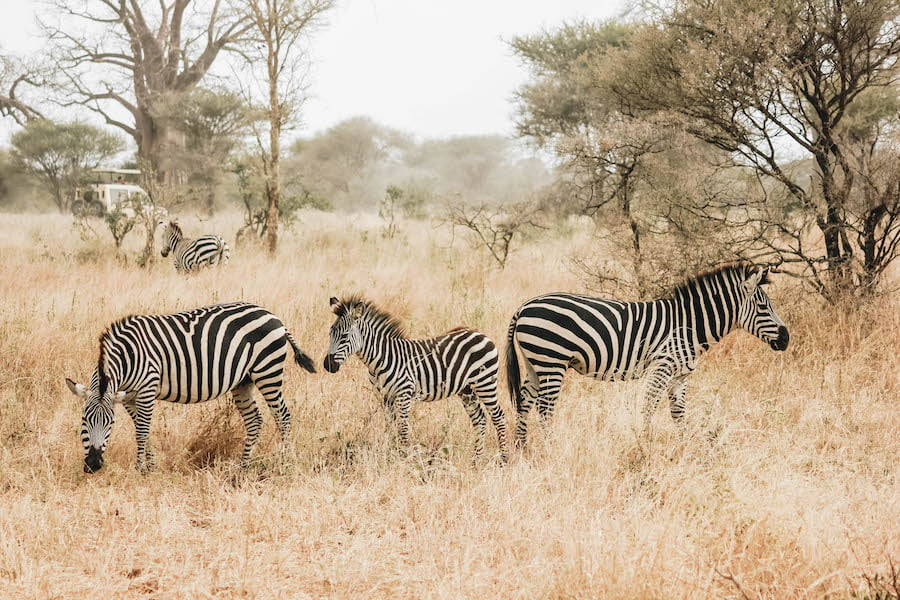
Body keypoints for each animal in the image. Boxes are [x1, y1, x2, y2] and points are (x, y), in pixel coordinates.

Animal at [66, 302, 316, 472]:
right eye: (84, 420)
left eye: (111, 423)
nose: (93, 464)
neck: (128, 357)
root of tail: (273, 315)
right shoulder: (128, 396)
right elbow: (140, 427)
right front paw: (150, 466)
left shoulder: (147, 388)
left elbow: (142, 430)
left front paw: (140, 469)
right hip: (243, 381)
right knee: (255, 420)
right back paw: (243, 466)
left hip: (267, 371)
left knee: (282, 416)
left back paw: (283, 462)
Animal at [324, 296, 510, 464]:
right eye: (330, 333)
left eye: (345, 336)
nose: (328, 365)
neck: (380, 359)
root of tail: (481, 334)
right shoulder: (385, 397)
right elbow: (390, 427)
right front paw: (391, 454)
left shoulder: (404, 394)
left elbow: (403, 428)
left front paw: (404, 459)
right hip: (467, 389)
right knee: (480, 419)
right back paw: (475, 461)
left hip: (485, 383)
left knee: (498, 417)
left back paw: (504, 460)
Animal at [506, 262, 788, 446]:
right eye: (763, 307)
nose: (786, 339)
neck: (689, 325)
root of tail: (524, 306)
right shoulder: (663, 366)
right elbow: (649, 406)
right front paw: (644, 443)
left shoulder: (680, 375)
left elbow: (678, 414)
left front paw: (684, 447)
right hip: (551, 361)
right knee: (544, 409)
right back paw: (551, 448)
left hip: (535, 364)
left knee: (525, 401)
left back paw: (523, 449)